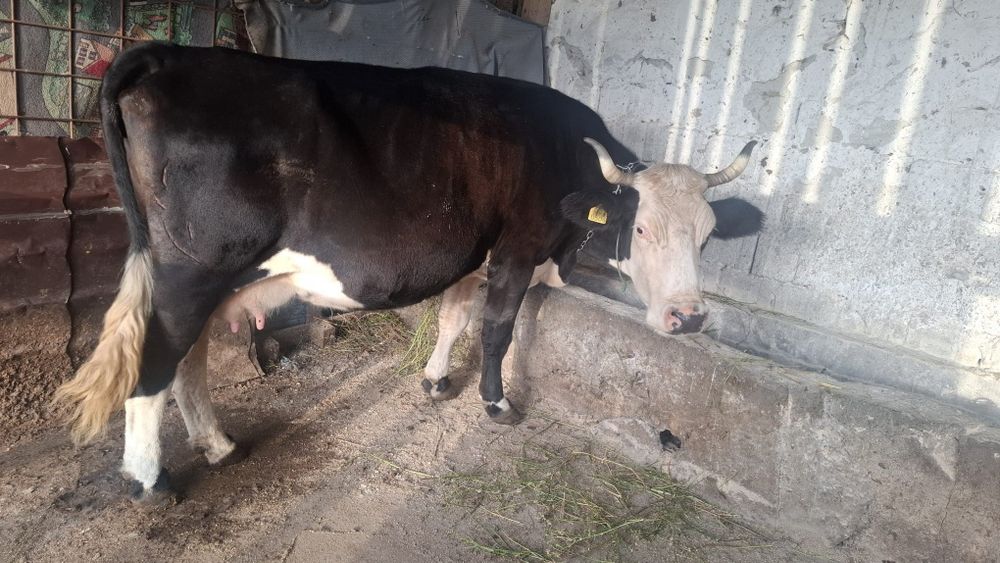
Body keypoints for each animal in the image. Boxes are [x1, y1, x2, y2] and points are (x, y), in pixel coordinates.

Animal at [53, 42, 760, 504]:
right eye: (641, 229)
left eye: (706, 235)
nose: (689, 317)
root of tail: (165, 53)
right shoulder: (517, 248)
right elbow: (498, 330)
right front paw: (496, 403)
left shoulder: (473, 253)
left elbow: (454, 317)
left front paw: (435, 380)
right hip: (190, 272)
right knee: (156, 364)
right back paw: (151, 482)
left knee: (188, 361)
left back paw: (220, 446)